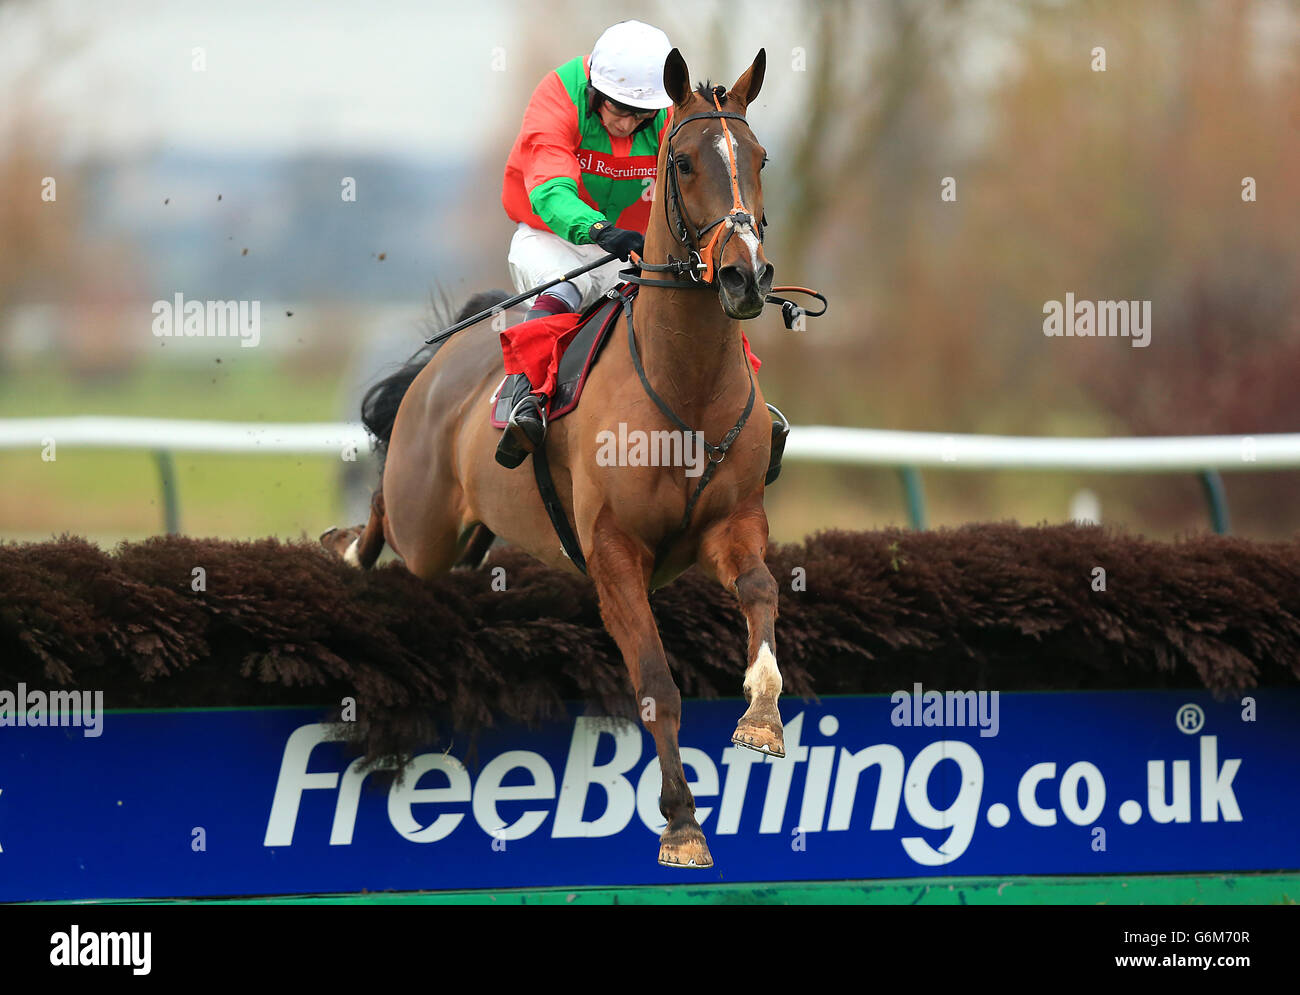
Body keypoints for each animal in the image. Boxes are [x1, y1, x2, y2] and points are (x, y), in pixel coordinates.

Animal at [323, 48, 783, 868]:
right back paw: (348, 548)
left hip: (474, 535)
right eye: (685, 162)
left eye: (759, 157)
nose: (745, 275)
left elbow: (761, 589)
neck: (686, 387)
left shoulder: (733, 522)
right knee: (386, 515)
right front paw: (682, 822)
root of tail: (446, 359)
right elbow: (655, 682)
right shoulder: (613, 551)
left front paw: (762, 714)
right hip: (426, 519)